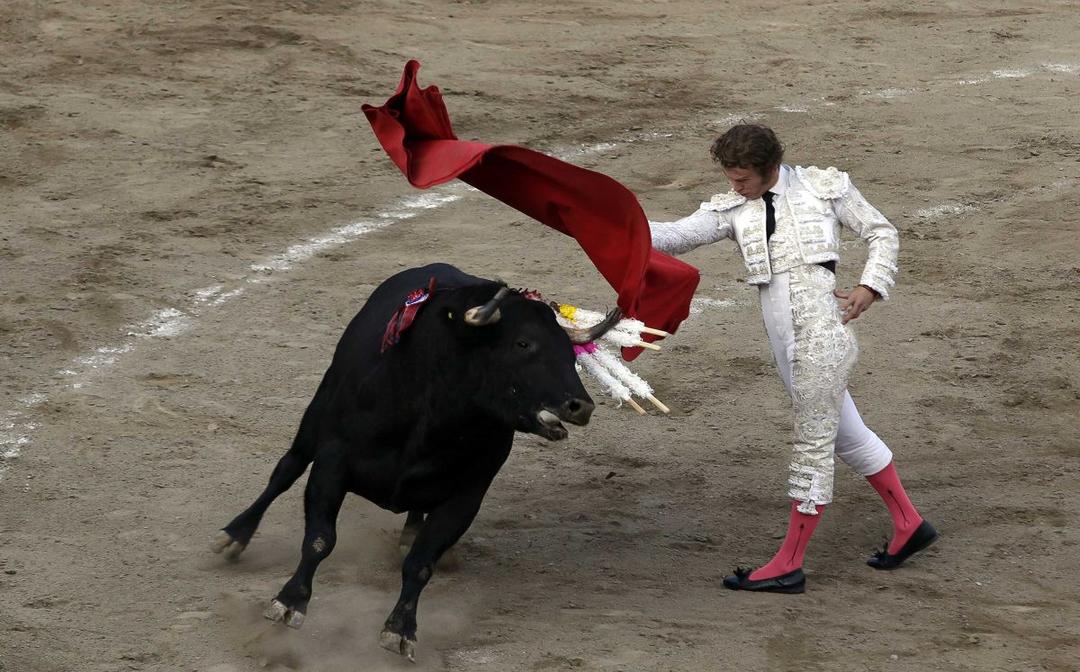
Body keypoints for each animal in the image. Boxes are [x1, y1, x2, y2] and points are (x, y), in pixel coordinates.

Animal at [212, 264, 617, 665]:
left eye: (571, 353)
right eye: (523, 343)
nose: (581, 406)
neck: (437, 417)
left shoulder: (467, 496)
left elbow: (421, 564)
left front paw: (400, 629)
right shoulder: (332, 460)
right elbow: (319, 539)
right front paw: (289, 603)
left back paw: (408, 532)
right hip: (315, 416)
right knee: (285, 470)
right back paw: (235, 535)